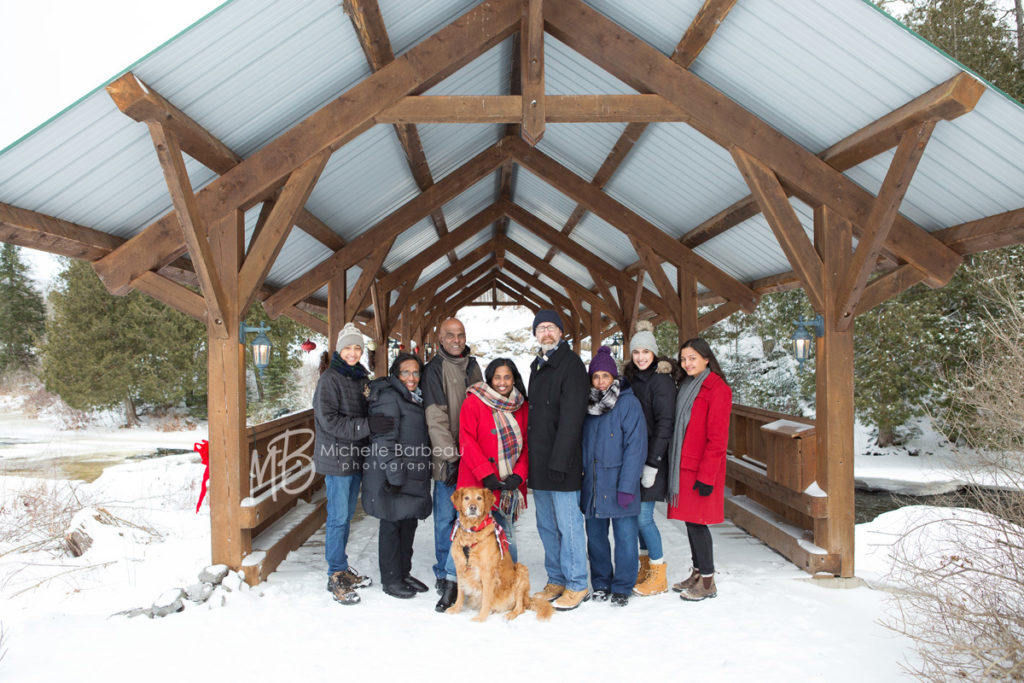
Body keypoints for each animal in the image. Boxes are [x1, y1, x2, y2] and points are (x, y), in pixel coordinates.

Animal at [446, 485, 552, 626]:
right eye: (466, 498)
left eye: (479, 498)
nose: (473, 507)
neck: (472, 531)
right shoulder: (460, 567)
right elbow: (460, 592)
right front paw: (456, 608)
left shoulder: (487, 572)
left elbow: (486, 598)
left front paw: (481, 617)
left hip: (521, 571)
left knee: (521, 607)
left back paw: (509, 615)